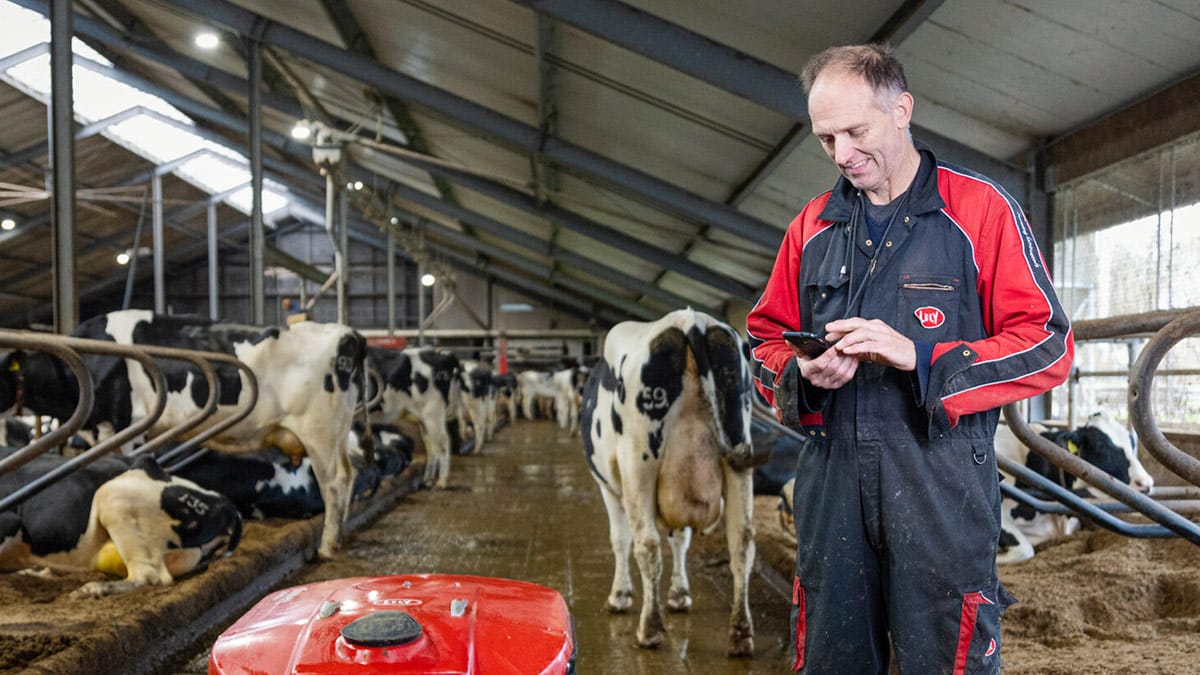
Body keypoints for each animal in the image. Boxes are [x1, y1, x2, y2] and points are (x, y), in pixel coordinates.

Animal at [580, 307, 758, 653]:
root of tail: (691, 322)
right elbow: (681, 539)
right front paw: (679, 594)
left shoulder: (608, 486)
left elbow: (620, 539)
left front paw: (619, 596)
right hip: (740, 455)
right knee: (741, 541)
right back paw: (740, 634)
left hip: (639, 462)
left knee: (647, 544)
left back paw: (649, 629)